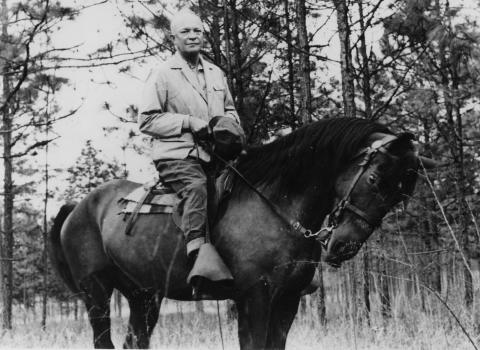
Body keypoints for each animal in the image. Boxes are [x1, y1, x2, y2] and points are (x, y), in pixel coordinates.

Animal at [49, 118, 436, 350]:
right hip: (96, 291)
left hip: (143, 295)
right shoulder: (255, 296)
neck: (276, 205)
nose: (344, 246)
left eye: (401, 195)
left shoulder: (287, 300)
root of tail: (79, 206)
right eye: (374, 178)